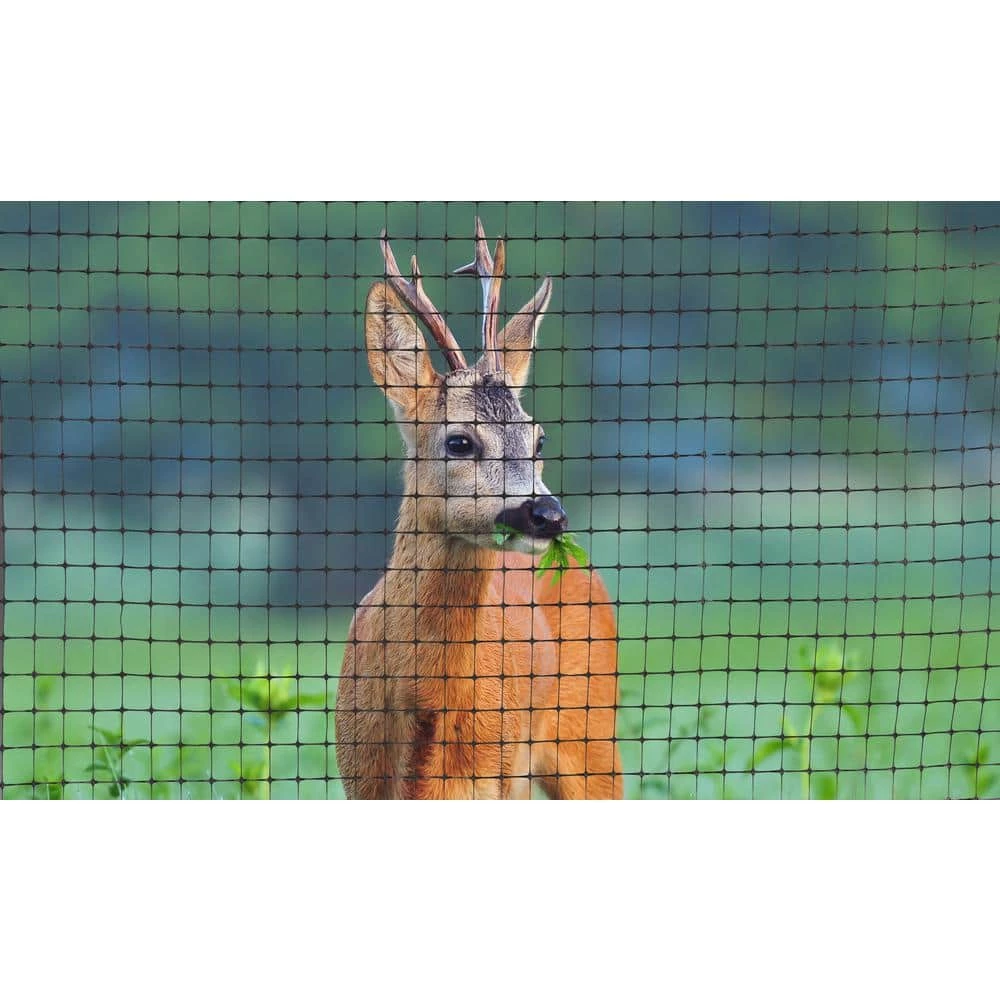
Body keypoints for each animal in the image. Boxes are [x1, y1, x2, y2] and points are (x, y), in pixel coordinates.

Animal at [334, 219, 623, 799]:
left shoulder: (497, 778)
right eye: (460, 442)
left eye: (538, 438)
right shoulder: (357, 778)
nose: (548, 515)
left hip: (591, 737)